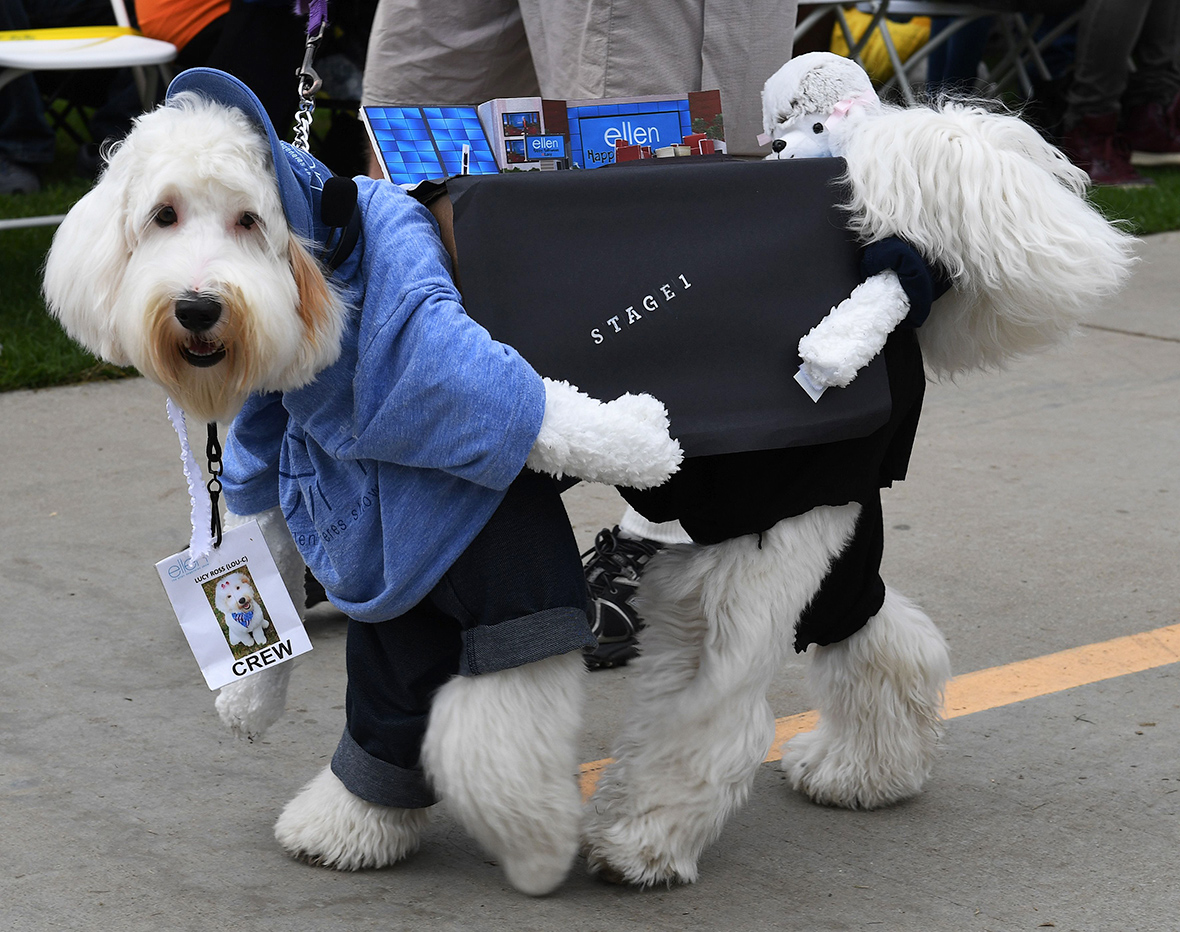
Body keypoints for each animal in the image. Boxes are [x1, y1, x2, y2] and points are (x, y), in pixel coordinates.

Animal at [43, 69, 684, 891]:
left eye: (248, 219)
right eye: (164, 214)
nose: (197, 307)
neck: (329, 245)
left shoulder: (417, 314)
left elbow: (511, 396)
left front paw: (644, 438)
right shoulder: (263, 427)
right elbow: (264, 524)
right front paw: (248, 698)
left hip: (510, 577)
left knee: (505, 695)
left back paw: (518, 836)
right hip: (406, 627)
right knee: (413, 708)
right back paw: (350, 827)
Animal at [580, 52, 1132, 891]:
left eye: (815, 124)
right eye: (776, 125)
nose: (773, 150)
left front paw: (638, 843)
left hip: (774, 560)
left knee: (744, 679)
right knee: (873, 635)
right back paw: (866, 773)